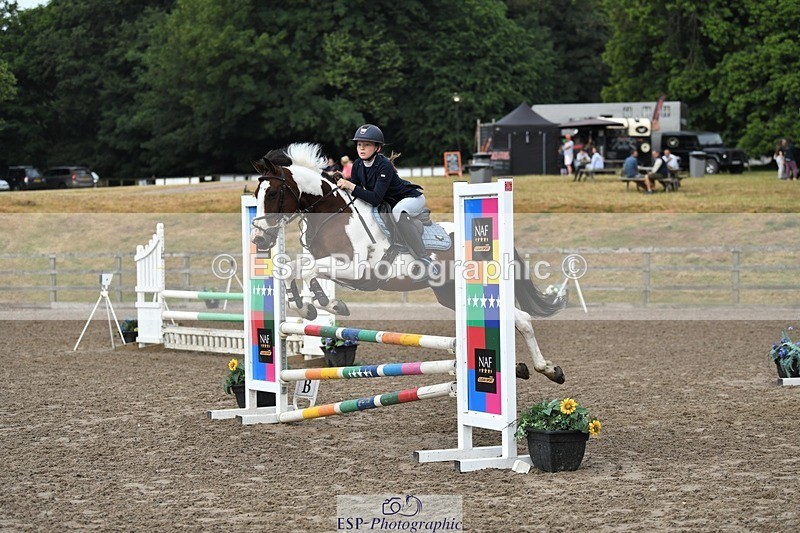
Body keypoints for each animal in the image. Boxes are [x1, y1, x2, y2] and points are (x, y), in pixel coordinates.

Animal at [249, 143, 567, 384]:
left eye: (274, 193)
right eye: (255, 195)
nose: (259, 239)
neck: (333, 215)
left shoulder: (355, 268)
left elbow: (306, 270)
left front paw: (328, 304)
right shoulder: (330, 264)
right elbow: (294, 269)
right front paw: (309, 306)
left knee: (522, 319)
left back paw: (549, 369)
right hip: (449, 293)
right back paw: (518, 368)